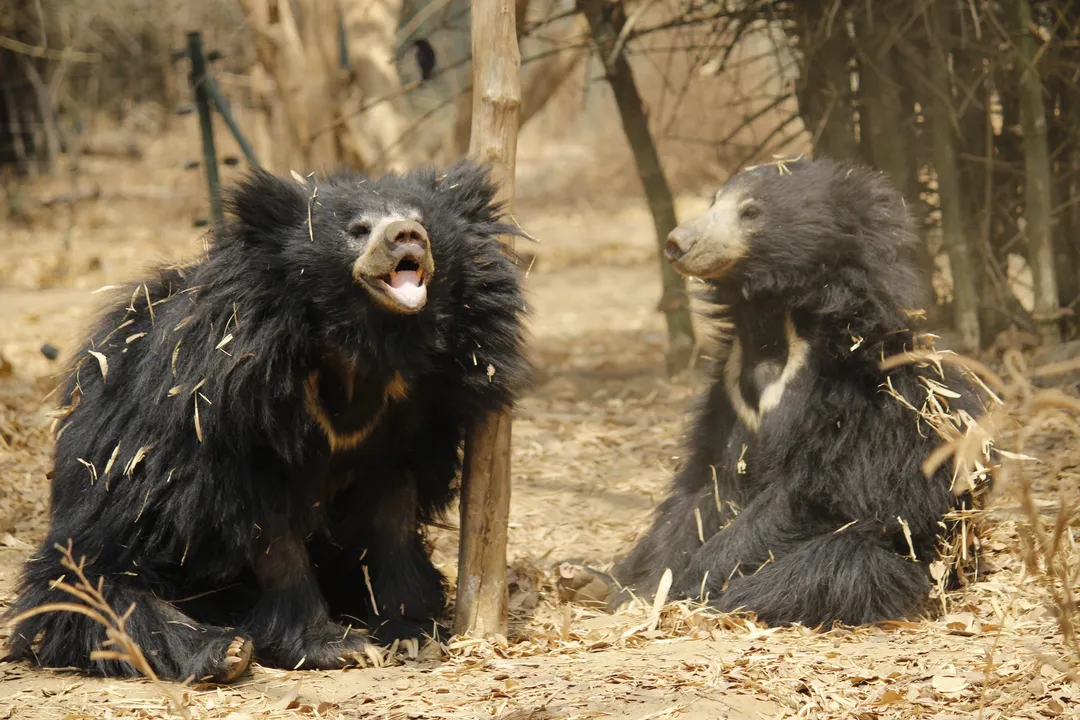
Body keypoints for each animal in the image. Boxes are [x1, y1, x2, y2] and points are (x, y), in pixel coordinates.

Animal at [4, 159, 530, 683]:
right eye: (358, 230)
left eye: (421, 221)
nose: (407, 235)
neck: (364, 348)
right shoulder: (239, 401)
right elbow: (273, 536)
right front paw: (337, 647)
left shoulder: (418, 410)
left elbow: (393, 515)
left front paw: (409, 628)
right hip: (111, 517)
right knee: (98, 595)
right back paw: (223, 651)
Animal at [565, 157, 990, 628]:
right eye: (714, 201)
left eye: (751, 213)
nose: (678, 242)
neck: (773, 327)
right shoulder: (729, 396)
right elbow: (702, 492)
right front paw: (635, 587)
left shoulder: (855, 401)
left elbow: (814, 495)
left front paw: (684, 587)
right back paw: (585, 579)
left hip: (919, 552)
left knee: (837, 566)